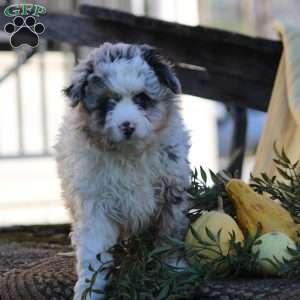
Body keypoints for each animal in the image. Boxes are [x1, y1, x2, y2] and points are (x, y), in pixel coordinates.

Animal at [55, 42, 191, 300]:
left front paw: (176, 271)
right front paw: (88, 290)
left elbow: (171, 234)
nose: (127, 126)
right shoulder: (95, 206)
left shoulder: (171, 191)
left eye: (142, 99)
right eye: (108, 103)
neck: (129, 154)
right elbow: (93, 252)